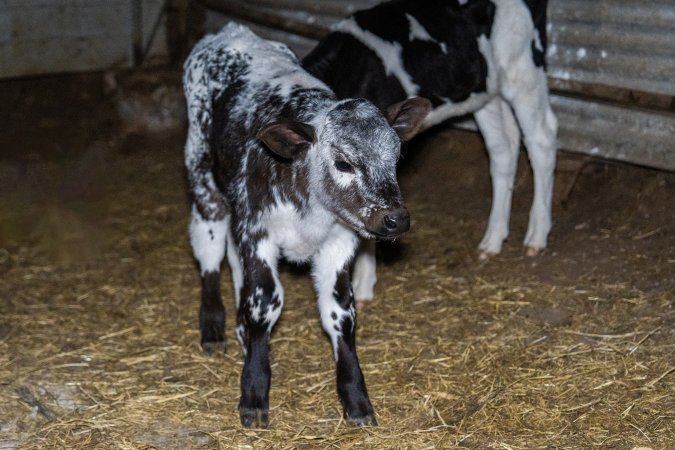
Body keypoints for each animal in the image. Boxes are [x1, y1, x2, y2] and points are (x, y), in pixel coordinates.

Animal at [183, 23, 431, 428]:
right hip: (202, 175)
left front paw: (356, 400)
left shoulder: (338, 241)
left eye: (395, 158)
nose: (395, 218)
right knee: (210, 249)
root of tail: (231, 30)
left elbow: (340, 313)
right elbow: (265, 302)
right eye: (343, 163)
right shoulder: (258, 231)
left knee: (234, 260)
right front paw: (254, 394)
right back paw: (214, 328)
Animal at [303, 0, 558, 303]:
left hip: (524, 73)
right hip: (484, 93)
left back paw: (537, 235)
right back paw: (492, 240)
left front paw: (363, 287)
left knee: (542, 139)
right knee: (503, 149)